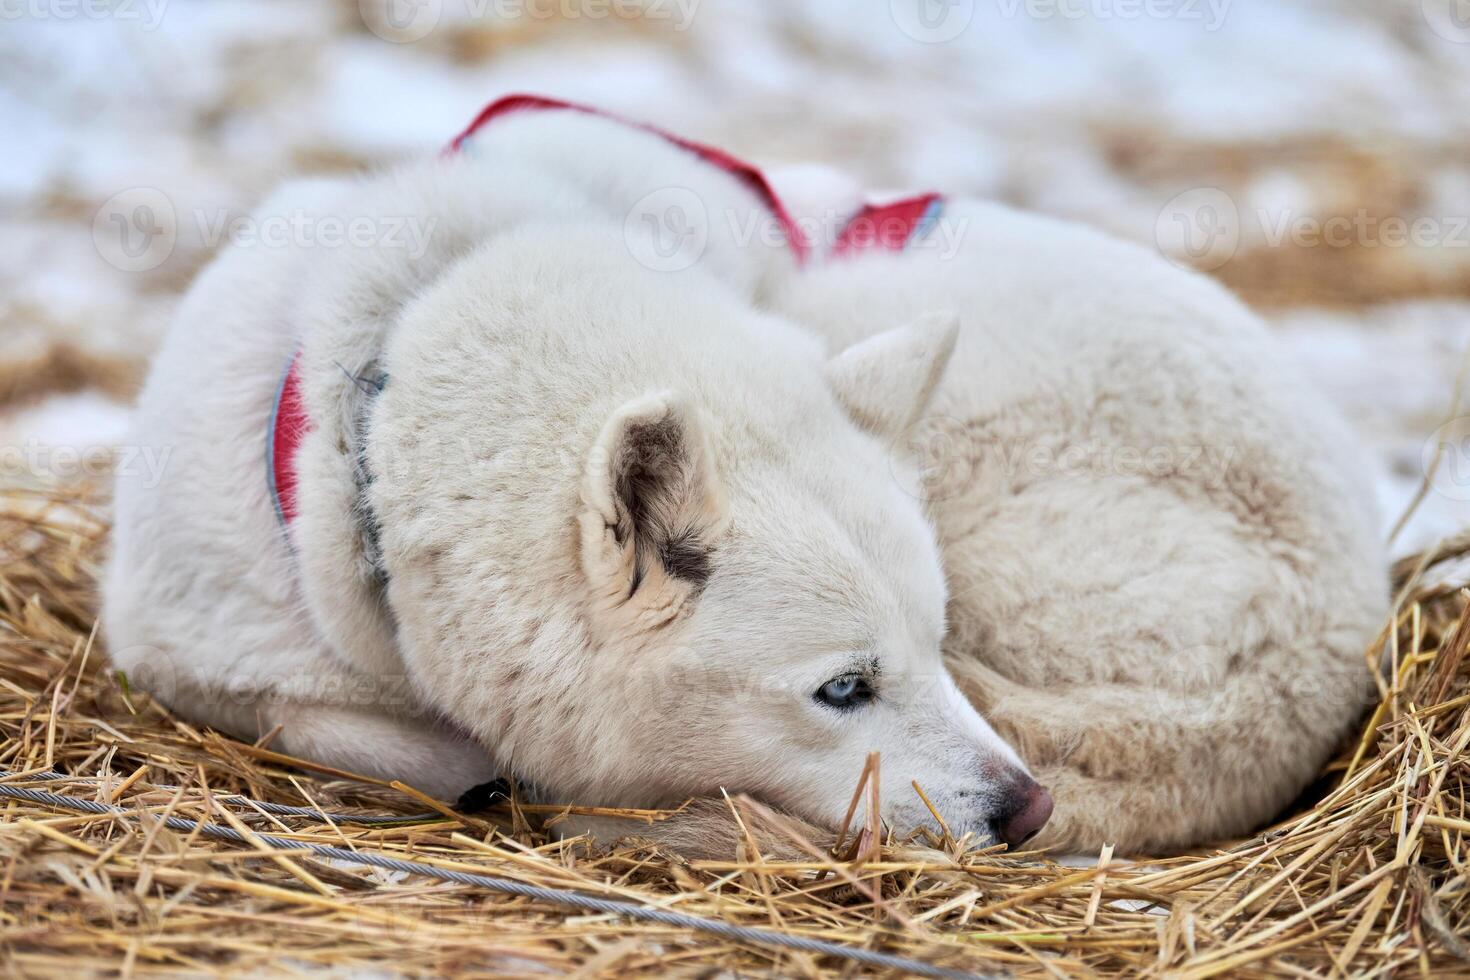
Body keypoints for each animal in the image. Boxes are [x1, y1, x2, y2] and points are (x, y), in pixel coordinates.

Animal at [108, 95, 1381, 852]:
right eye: (843, 686)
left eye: (935, 638)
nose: (1027, 808)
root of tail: (1329, 636)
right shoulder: (186, 642)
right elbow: (334, 721)